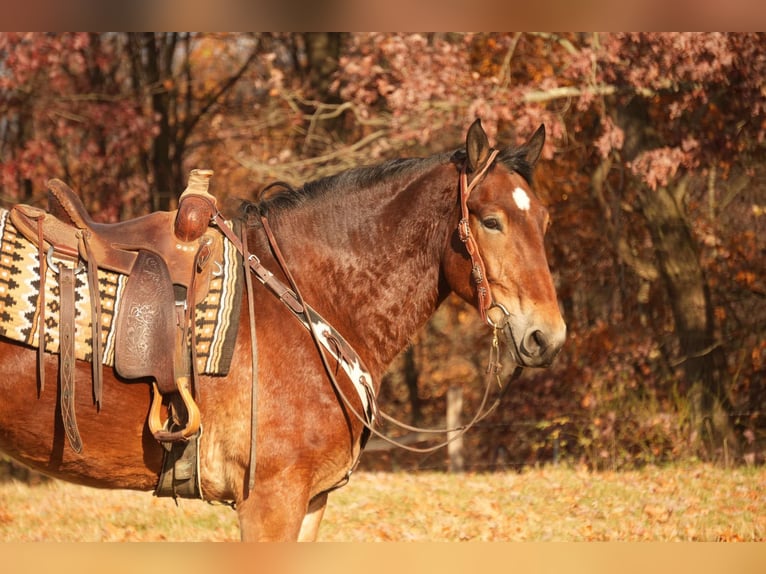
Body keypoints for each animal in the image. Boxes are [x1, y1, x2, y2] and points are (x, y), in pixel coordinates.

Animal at [0, 119, 568, 544]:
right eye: (490, 221)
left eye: (543, 219)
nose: (548, 337)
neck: (306, 299)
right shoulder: (270, 503)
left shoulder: (310, 502)